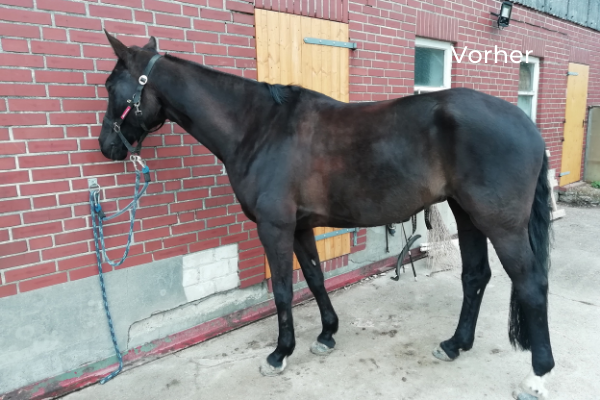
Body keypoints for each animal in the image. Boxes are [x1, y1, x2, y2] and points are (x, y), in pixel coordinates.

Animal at [98, 32, 552, 398]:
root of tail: (528, 126)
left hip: (501, 225)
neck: (259, 128)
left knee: (531, 285)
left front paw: (280, 354)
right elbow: (315, 279)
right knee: (475, 276)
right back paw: (455, 344)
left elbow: (283, 290)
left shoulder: (275, 227)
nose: (108, 146)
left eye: (111, 85)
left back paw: (537, 376)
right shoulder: (299, 228)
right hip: (467, 214)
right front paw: (327, 334)